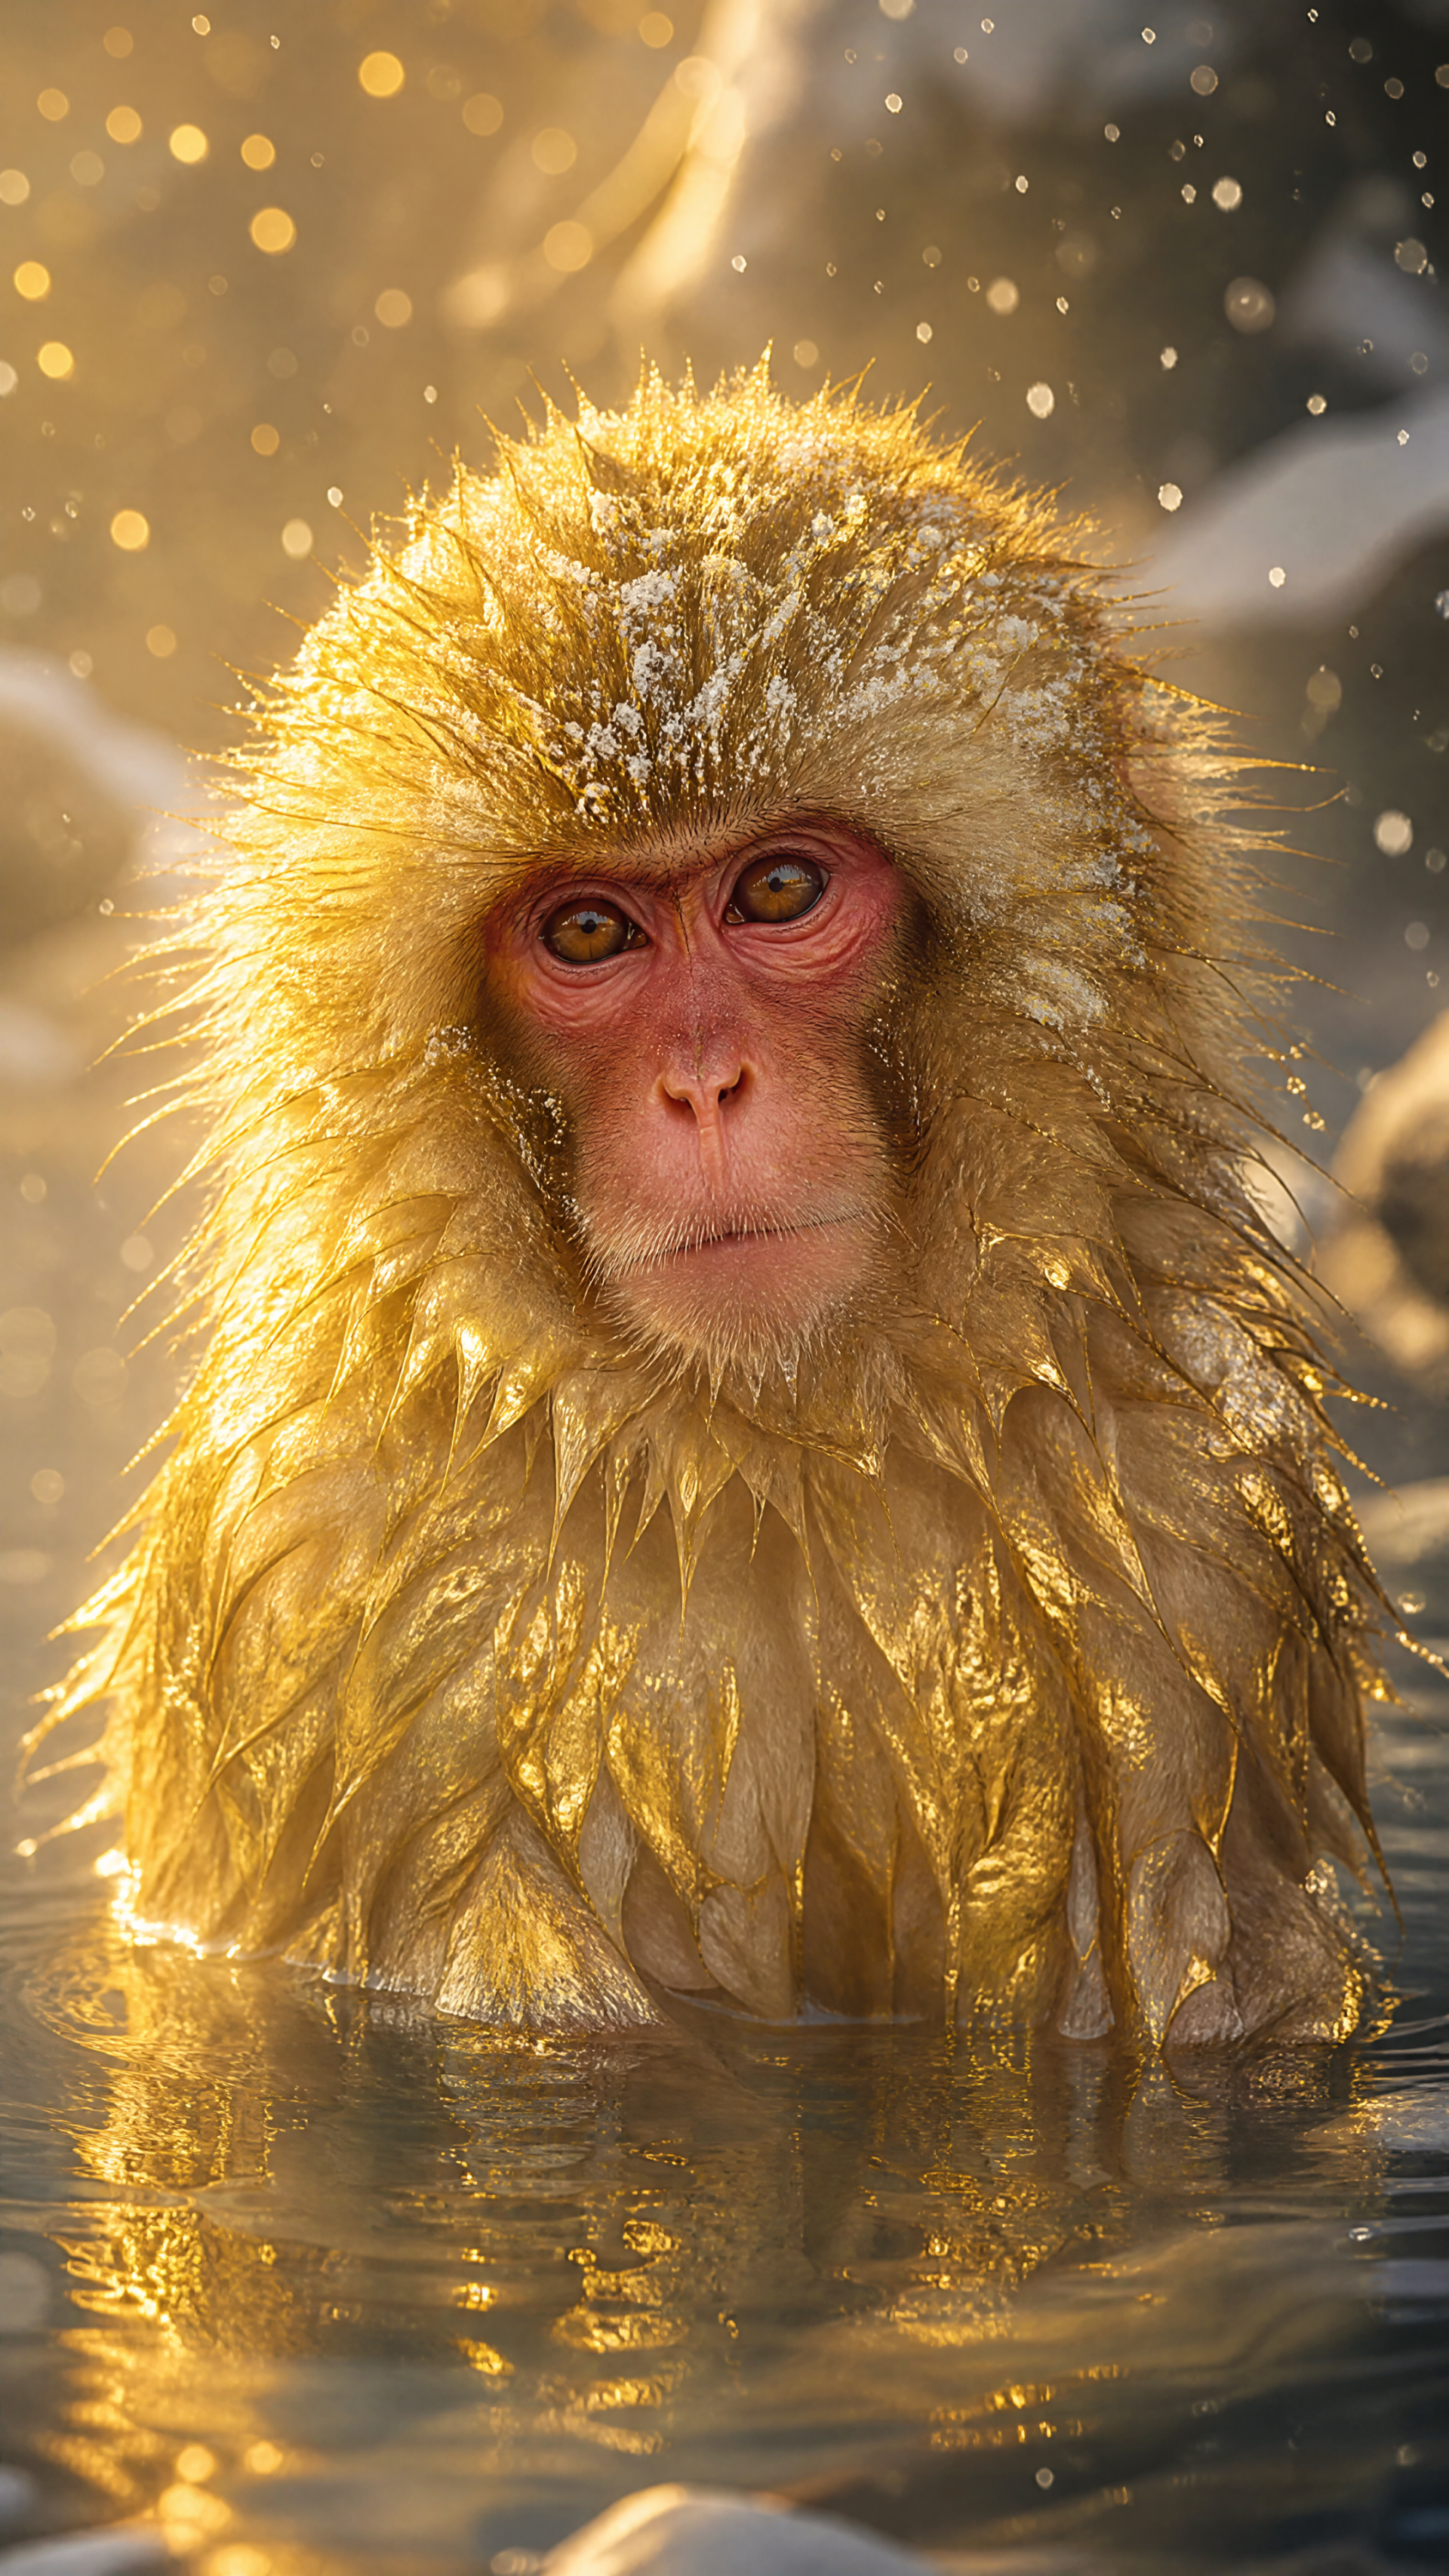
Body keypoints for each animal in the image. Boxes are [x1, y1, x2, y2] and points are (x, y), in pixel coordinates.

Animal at [30, 362, 1389, 2048]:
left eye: (779, 892)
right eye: (590, 931)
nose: (705, 1085)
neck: (762, 1457)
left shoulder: (1202, 1540)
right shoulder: (321, 1587)